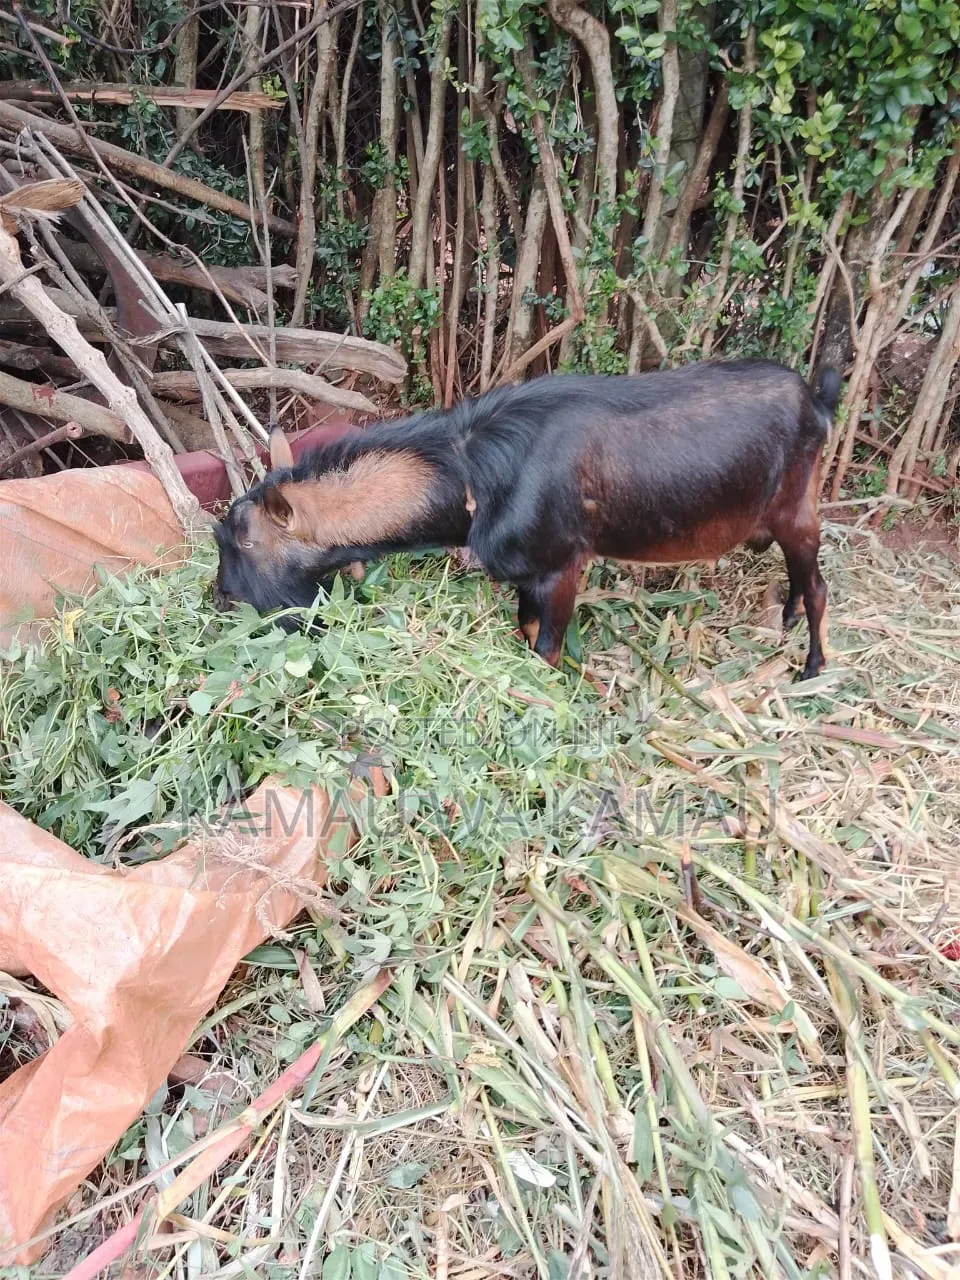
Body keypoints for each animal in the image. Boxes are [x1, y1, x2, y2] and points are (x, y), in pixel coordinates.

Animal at [213, 360, 841, 679]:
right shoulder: (526, 574)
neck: (471, 471)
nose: (218, 597)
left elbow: (547, 647)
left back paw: (811, 667)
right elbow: (526, 630)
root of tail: (817, 400)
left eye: (243, 541)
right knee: (798, 576)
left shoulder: (562, 566)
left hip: (797, 506)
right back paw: (784, 619)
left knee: (819, 584)